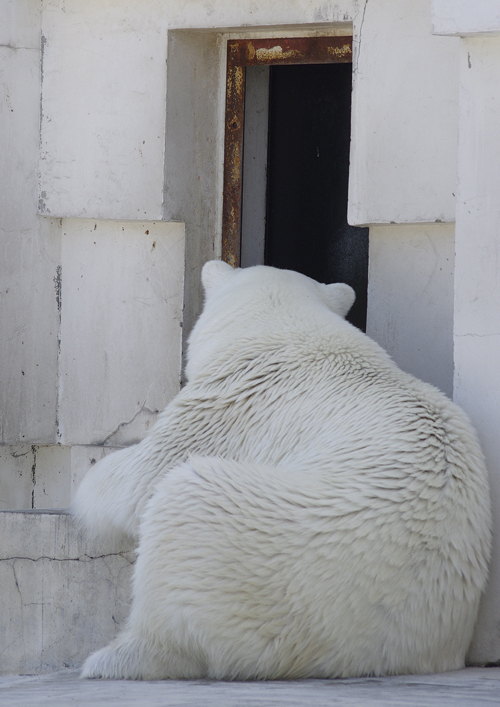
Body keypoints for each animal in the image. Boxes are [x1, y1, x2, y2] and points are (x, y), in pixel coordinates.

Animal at [72, 262, 490, 684]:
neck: (284, 330)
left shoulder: (227, 405)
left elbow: (141, 479)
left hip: (253, 558)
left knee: (180, 505)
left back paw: (115, 657)